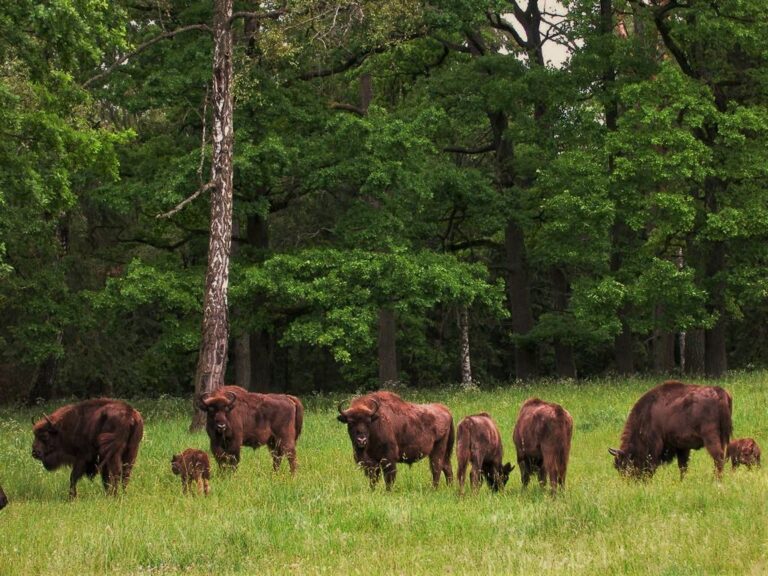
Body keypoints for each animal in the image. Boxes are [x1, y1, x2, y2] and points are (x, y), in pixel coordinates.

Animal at [608, 380, 736, 480]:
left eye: (625, 465)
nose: (631, 482)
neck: (648, 414)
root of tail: (719, 391)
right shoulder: (682, 447)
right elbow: (683, 466)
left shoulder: (656, 444)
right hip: (722, 437)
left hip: (710, 438)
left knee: (718, 458)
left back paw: (716, 480)